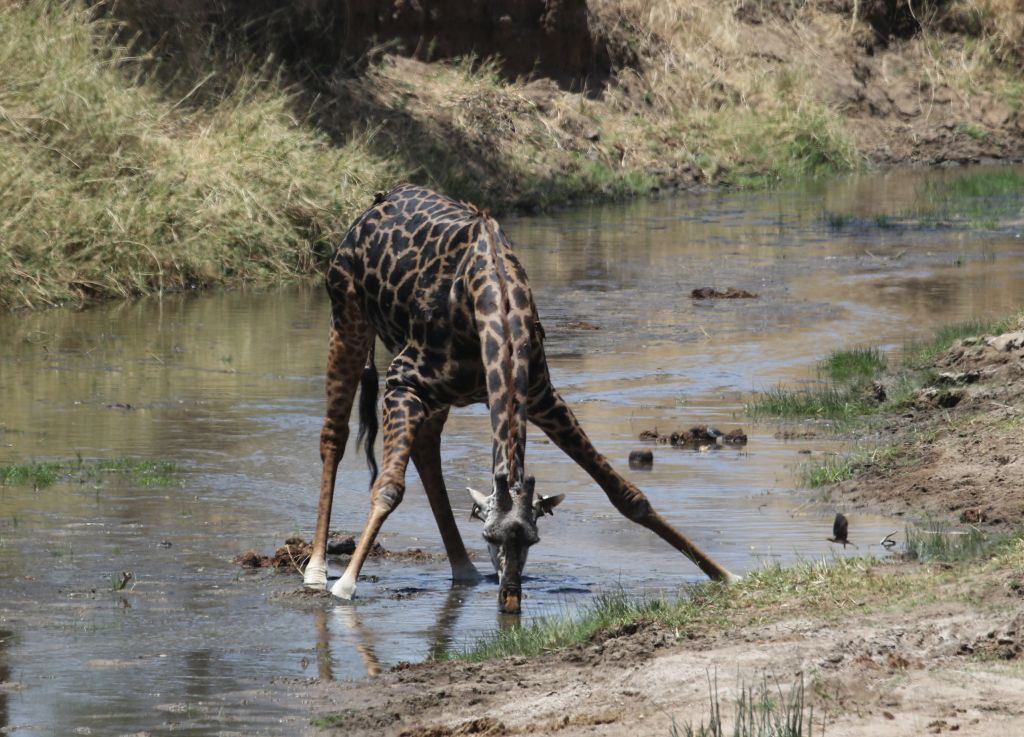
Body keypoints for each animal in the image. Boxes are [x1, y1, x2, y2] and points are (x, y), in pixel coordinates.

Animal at [302, 184, 737, 613]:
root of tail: (376, 204)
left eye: (532, 540)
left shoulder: (542, 396)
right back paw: (317, 570)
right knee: (333, 435)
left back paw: (463, 569)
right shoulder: (403, 383)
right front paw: (345, 586)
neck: (490, 305)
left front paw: (724, 574)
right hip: (347, 317)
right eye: (490, 538)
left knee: (426, 449)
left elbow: (628, 496)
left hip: (436, 394)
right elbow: (389, 488)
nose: (510, 599)